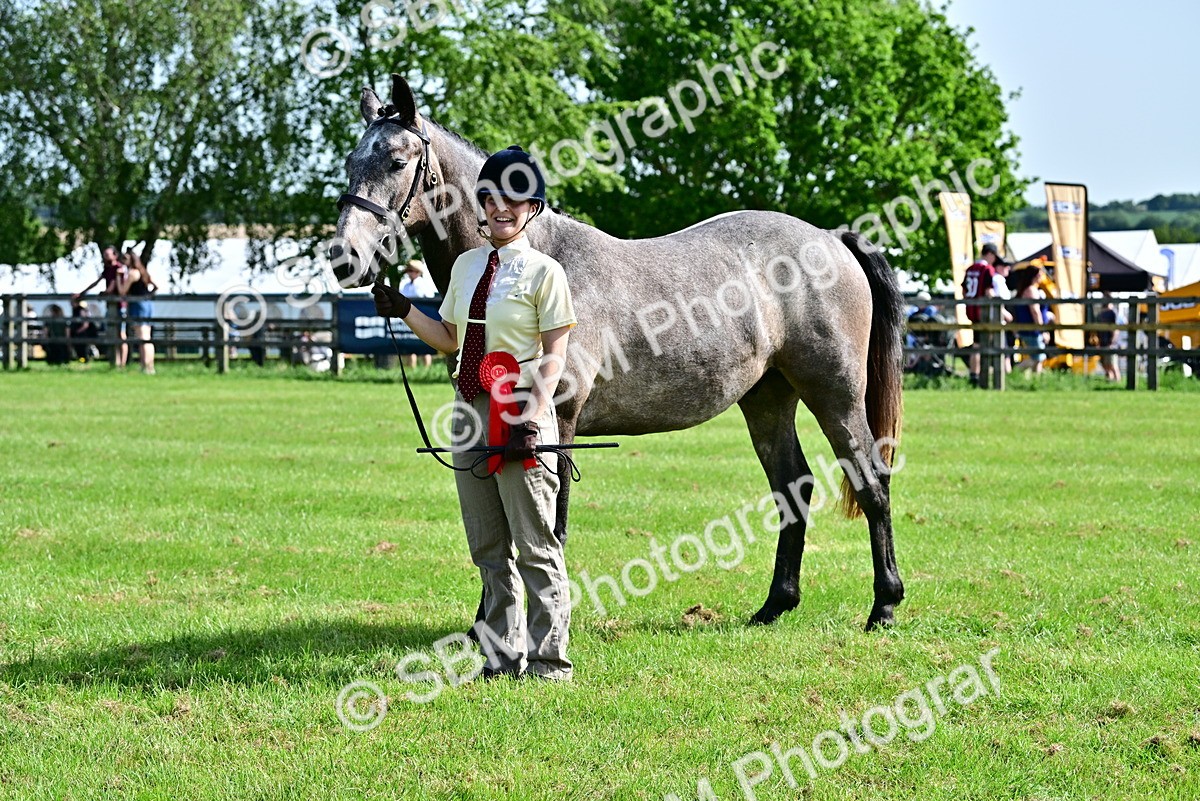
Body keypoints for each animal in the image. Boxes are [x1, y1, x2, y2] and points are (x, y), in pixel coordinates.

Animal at [333, 75, 906, 631]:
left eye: (397, 161)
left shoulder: (555, 420)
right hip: (767, 397)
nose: (345, 259)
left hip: (834, 392)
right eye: (349, 162)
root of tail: (830, 238)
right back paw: (774, 606)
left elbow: (550, 528)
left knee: (871, 481)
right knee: (792, 487)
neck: (532, 254)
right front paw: (487, 628)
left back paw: (884, 605)